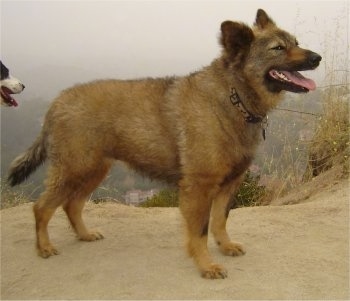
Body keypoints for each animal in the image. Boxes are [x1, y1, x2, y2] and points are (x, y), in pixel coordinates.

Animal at [8, 9, 322, 278]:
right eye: (277, 48)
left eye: (295, 43)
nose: (317, 58)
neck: (233, 96)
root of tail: (57, 103)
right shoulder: (199, 187)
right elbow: (200, 231)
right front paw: (206, 264)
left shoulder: (229, 184)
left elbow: (220, 221)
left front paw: (225, 245)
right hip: (74, 169)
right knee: (42, 208)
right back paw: (44, 247)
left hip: (93, 170)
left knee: (71, 205)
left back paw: (84, 234)